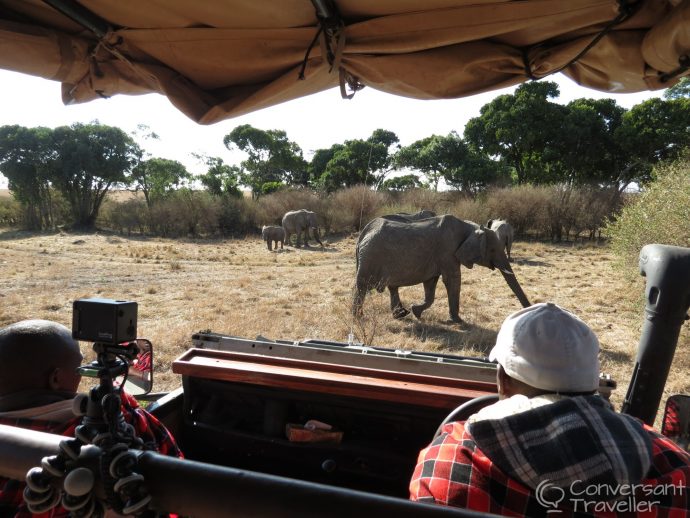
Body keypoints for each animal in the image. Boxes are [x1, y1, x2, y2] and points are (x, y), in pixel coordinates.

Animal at [352, 213, 528, 322]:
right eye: (492, 250)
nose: (527, 309)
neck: (469, 227)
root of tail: (362, 234)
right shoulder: (447, 252)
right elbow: (452, 280)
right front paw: (458, 321)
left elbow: (431, 284)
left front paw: (416, 311)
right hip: (370, 257)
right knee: (361, 286)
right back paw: (359, 318)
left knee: (391, 287)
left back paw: (401, 314)